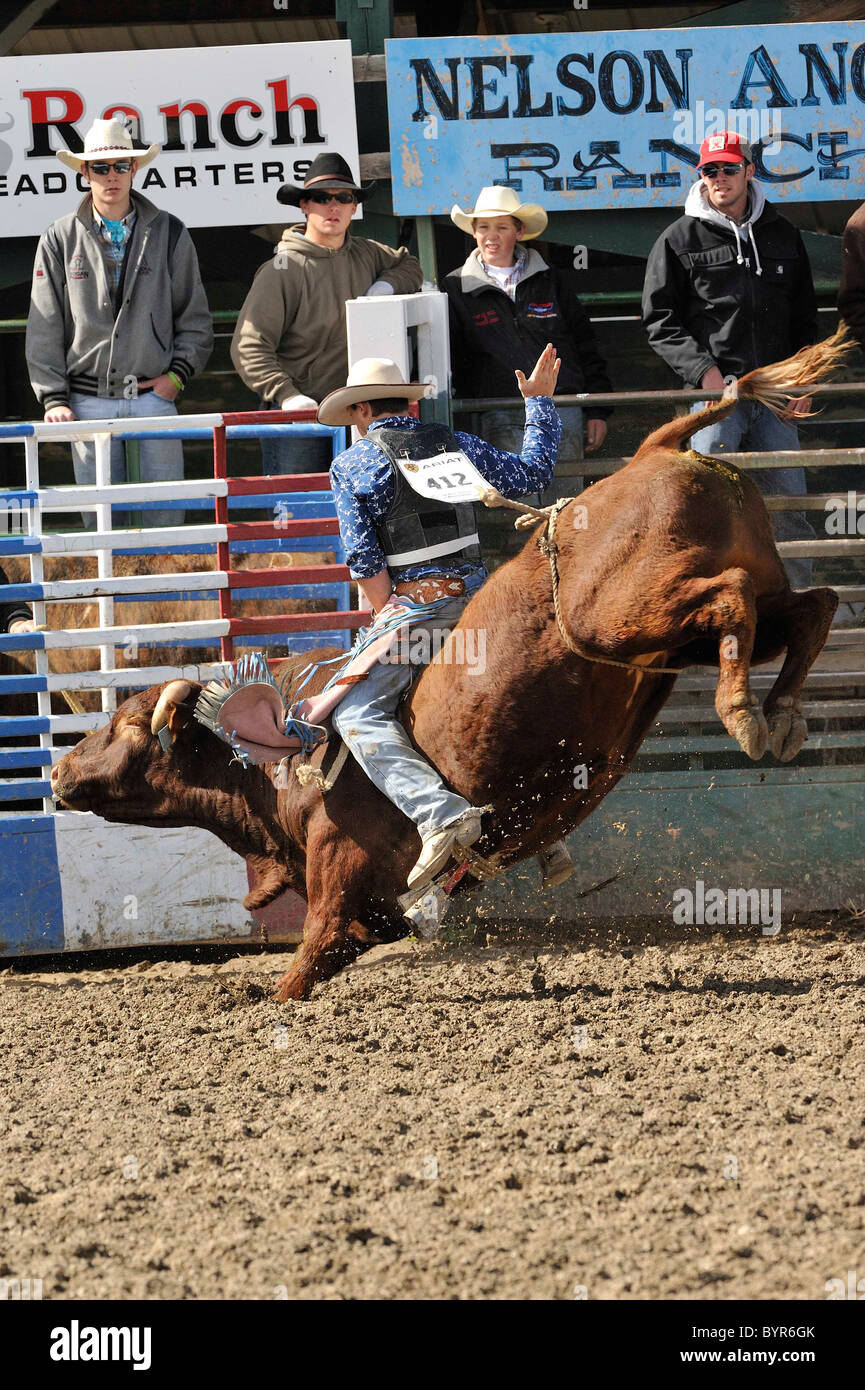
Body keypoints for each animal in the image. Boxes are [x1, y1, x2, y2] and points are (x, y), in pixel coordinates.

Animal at [50, 330, 850, 1001]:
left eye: (129, 726)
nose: (57, 771)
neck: (280, 762)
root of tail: (656, 447)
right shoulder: (370, 916)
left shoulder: (338, 891)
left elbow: (298, 972)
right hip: (679, 634)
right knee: (810, 605)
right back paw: (780, 715)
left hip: (630, 614)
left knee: (732, 597)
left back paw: (743, 715)